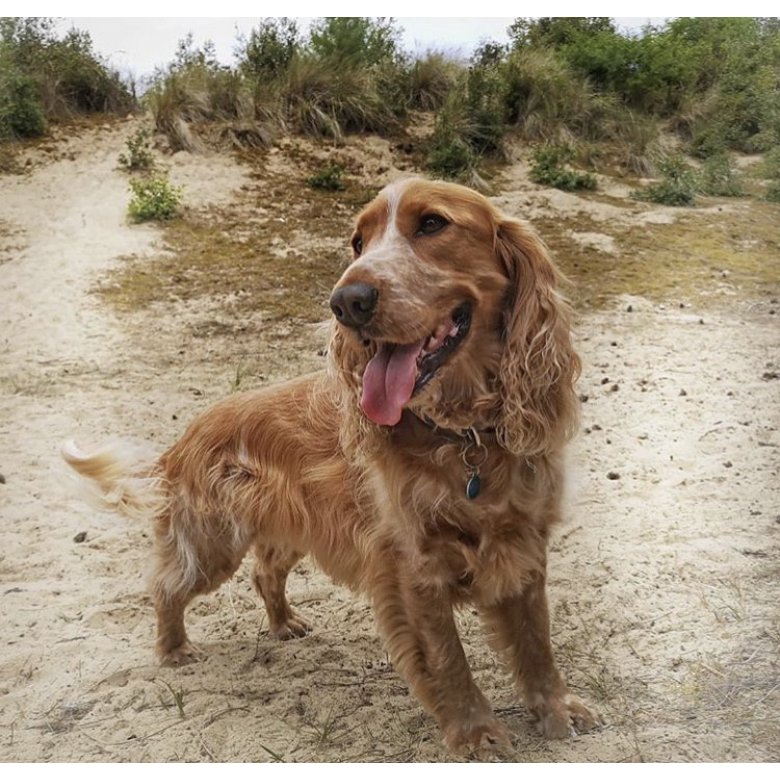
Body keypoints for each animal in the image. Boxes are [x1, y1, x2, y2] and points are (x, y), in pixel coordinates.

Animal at [67, 178, 600, 756]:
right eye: (357, 242)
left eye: (433, 224)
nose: (348, 301)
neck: (463, 440)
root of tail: (183, 439)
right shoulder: (413, 569)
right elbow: (449, 660)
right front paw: (476, 732)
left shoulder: (523, 546)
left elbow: (536, 642)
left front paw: (556, 709)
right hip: (212, 543)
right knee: (168, 586)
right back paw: (173, 649)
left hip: (286, 530)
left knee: (264, 573)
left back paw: (283, 624)